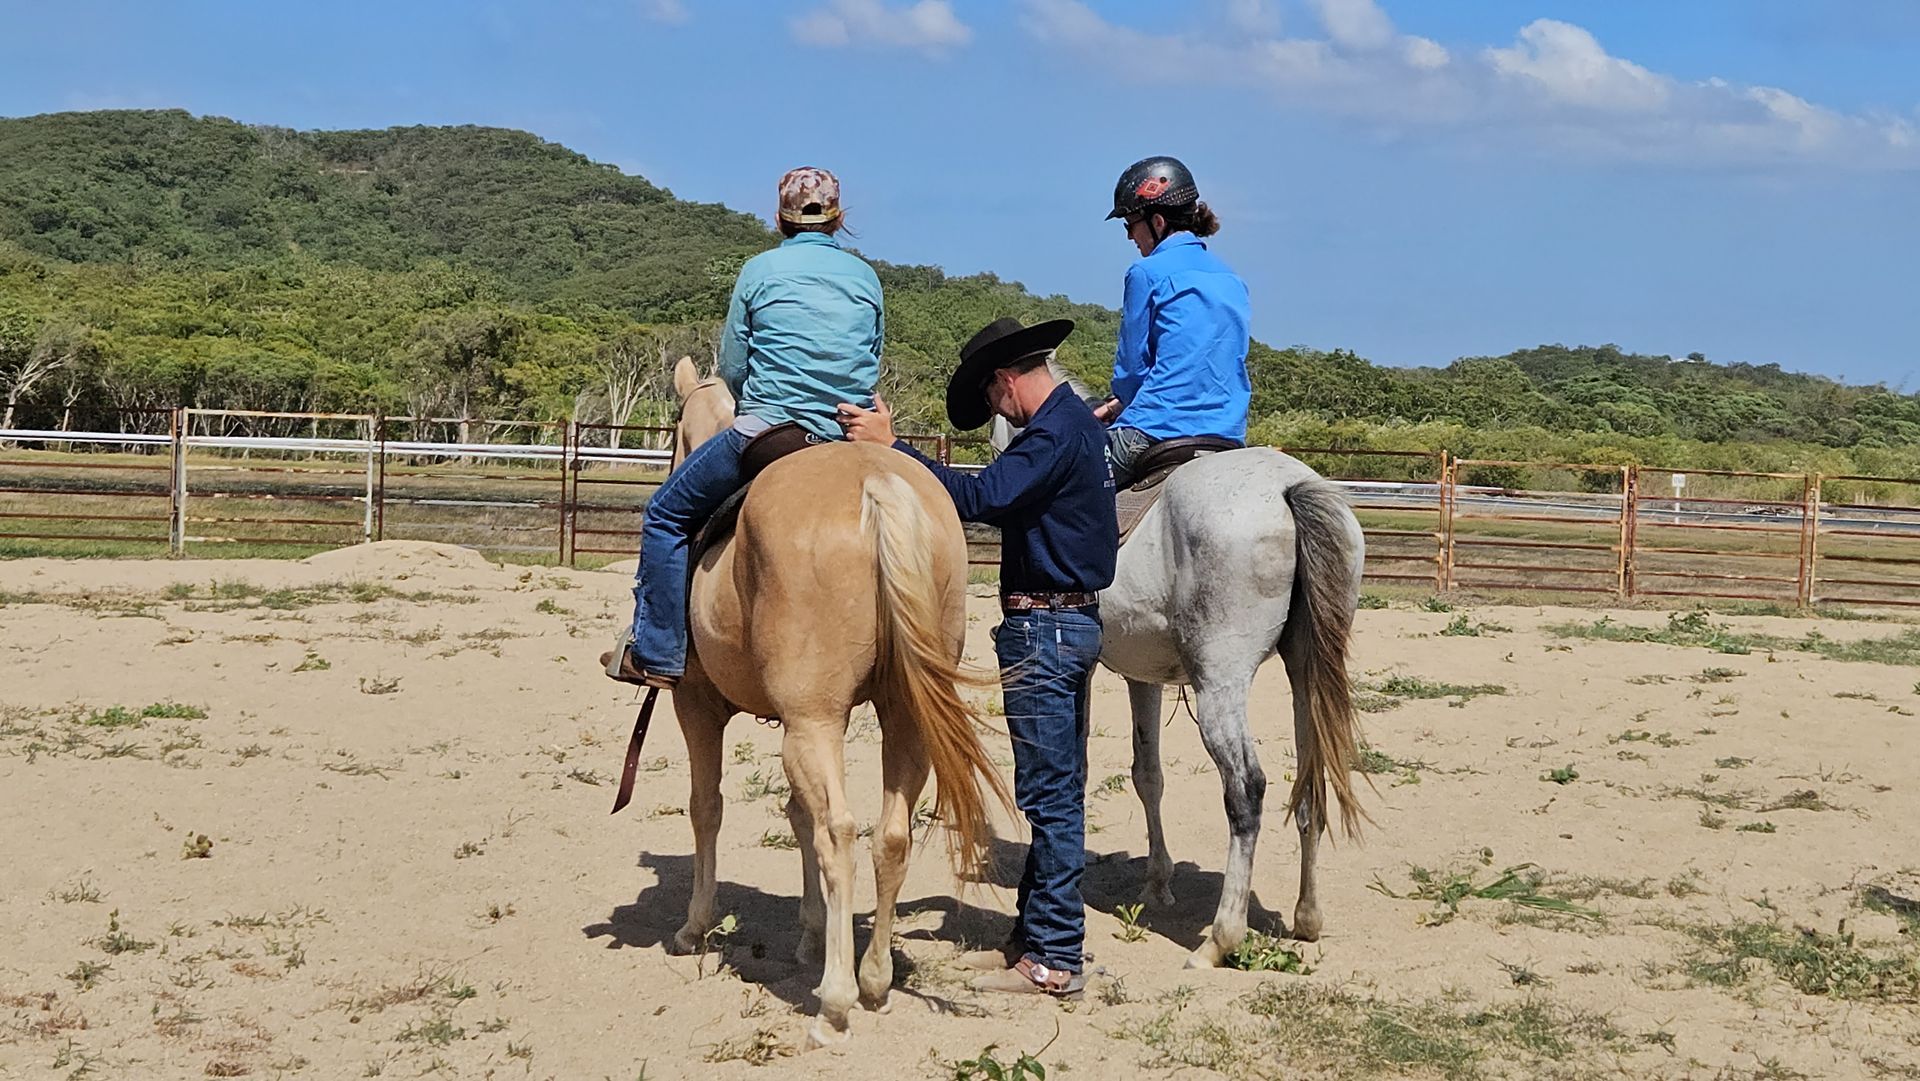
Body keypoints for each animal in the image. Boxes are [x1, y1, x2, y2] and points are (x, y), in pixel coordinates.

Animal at [649, 357, 1010, 1045]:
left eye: (675, 435)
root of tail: (874, 483)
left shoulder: (698, 707)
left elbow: (706, 808)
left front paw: (693, 925)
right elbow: (795, 815)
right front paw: (811, 935)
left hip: (812, 722)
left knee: (838, 832)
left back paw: (836, 1001)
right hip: (898, 717)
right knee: (887, 836)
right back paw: (873, 981)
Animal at [994, 393, 1368, 968]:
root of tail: (1288, 489)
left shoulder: (1083, 669)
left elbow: (1077, 768)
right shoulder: (1142, 678)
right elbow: (1148, 774)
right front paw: (1157, 884)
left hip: (1221, 686)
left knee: (1246, 790)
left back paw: (1220, 939)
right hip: (1305, 675)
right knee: (1310, 783)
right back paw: (1307, 918)